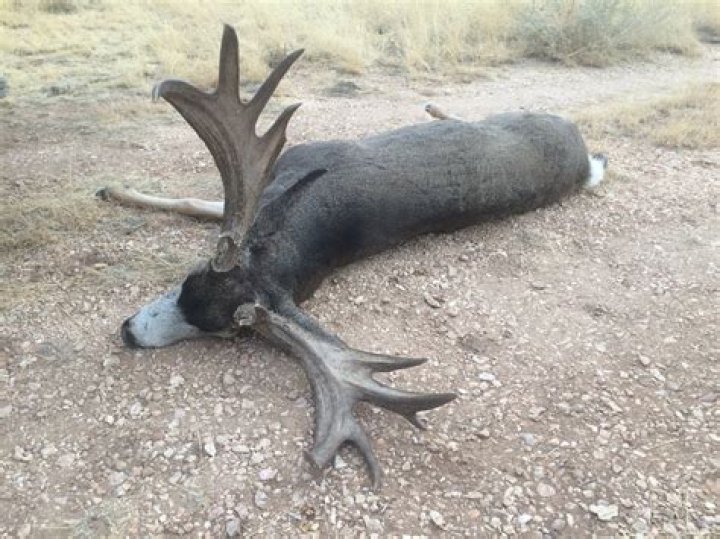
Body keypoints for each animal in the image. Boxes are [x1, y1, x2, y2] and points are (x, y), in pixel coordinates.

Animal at [99, 25, 607, 488]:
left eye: (225, 333)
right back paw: (435, 108)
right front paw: (113, 190)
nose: (128, 333)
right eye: (190, 277)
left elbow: (196, 204)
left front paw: (115, 190)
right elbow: (194, 203)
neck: (301, 221)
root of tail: (585, 161)